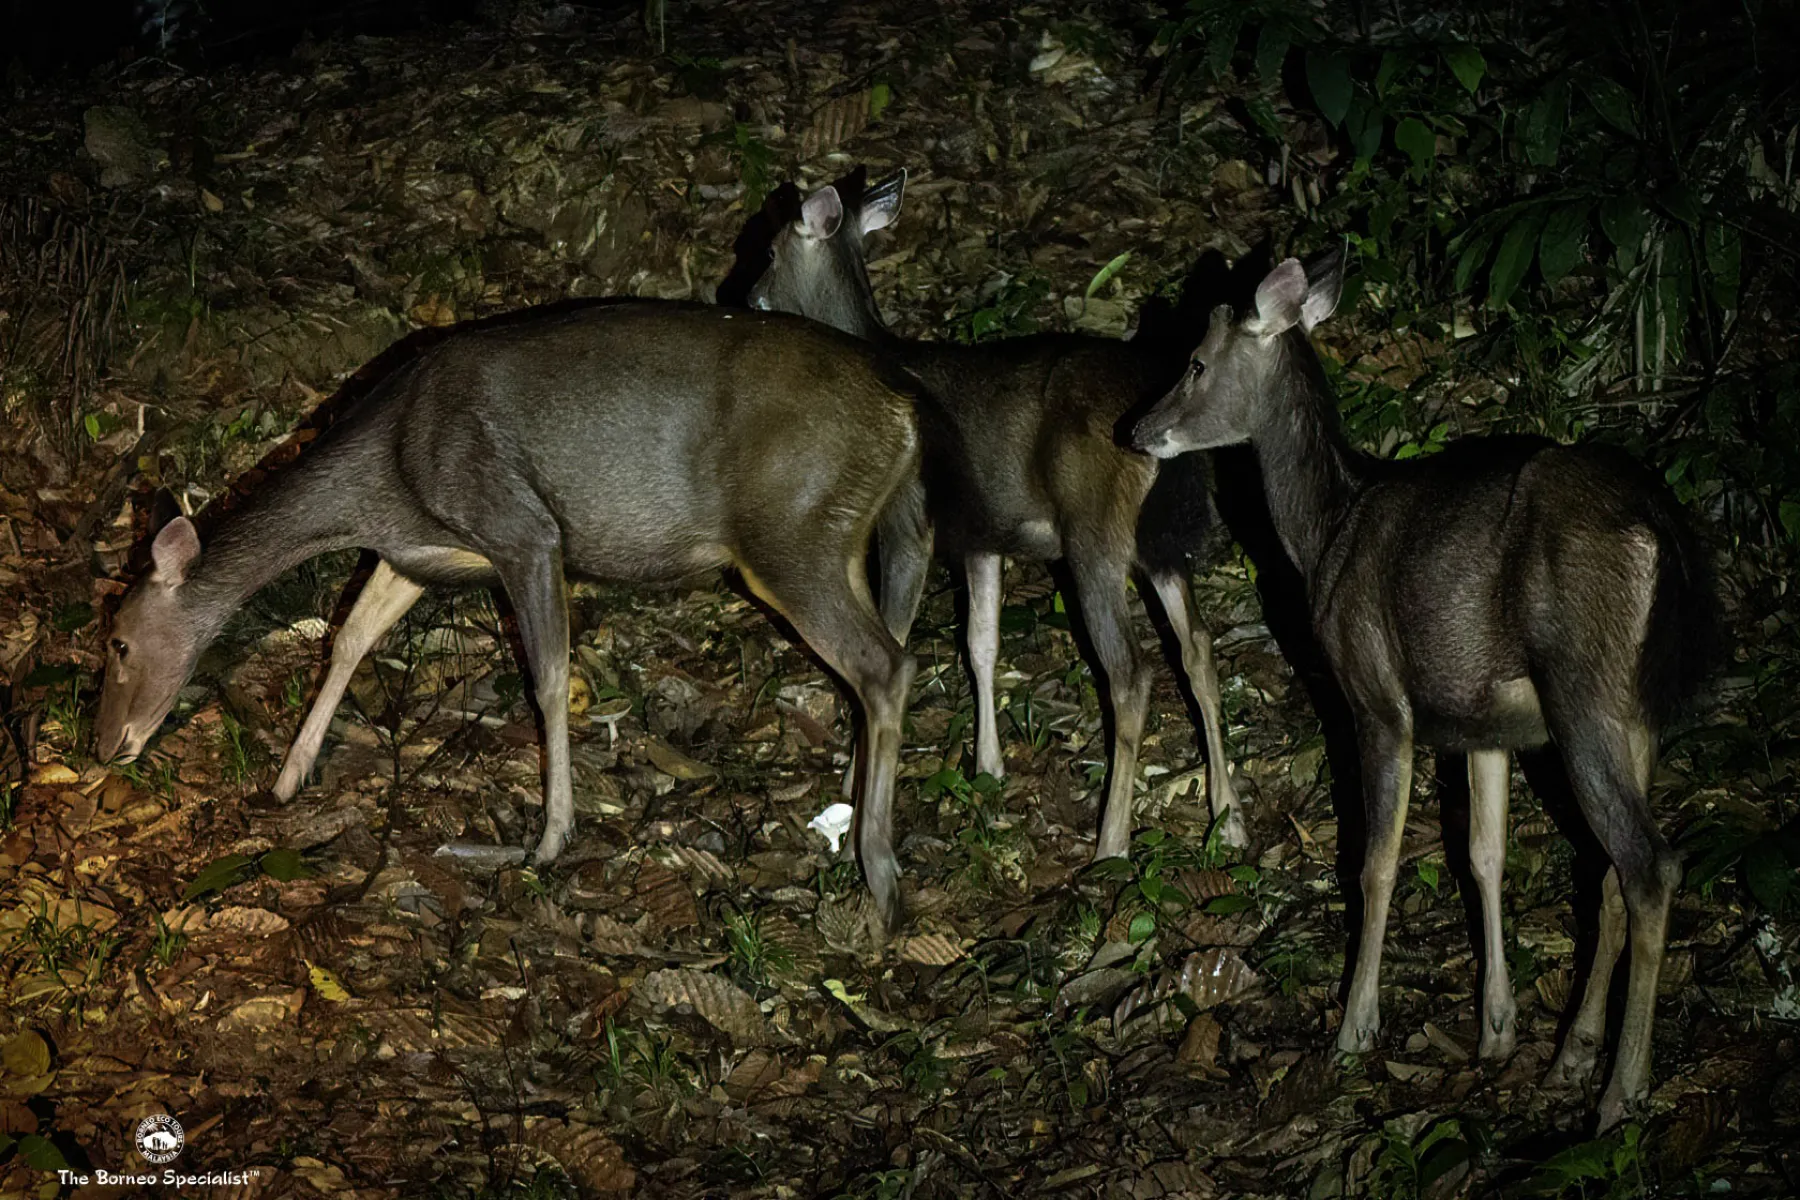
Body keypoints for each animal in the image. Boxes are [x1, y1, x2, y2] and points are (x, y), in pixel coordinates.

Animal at [94, 300, 929, 932]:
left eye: (119, 642)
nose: (105, 745)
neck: (381, 481)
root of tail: (904, 416)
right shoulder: (414, 554)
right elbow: (349, 638)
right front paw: (288, 777)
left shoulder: (522, 529)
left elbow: (549, 676)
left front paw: (551, 837)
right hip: (839, 537)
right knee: (891, 636)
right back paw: (855, 795)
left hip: (789, 530)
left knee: (885, 663)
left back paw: (881, 869)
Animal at [746, 167, 1246, 864]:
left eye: (767, 251)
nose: (745, 295)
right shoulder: (983, 536)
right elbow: (980, 642)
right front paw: (988, 767)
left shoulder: (906, 522)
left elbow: (892, 639)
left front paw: (853, 786)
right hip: (1161, 544)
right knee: (1198, 648)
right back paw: (1230, 818)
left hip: (1094, 534)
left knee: (1131, 673)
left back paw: (1111, 845)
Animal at [1131, 250, 1720, 1128]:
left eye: (1197, 361)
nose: (1136, 429)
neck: (1325, 531)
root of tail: (1661, 533)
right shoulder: (1483, 724)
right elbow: (1483, 854)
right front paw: (1497, 1031)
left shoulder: (1375, 697)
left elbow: (1374, 862)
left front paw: (1354, 1028)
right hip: (1631, 707)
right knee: (1612, 869)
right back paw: (1572, 1056)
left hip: (1582, 691)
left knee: (1651, 865)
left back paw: (1622, 1090)